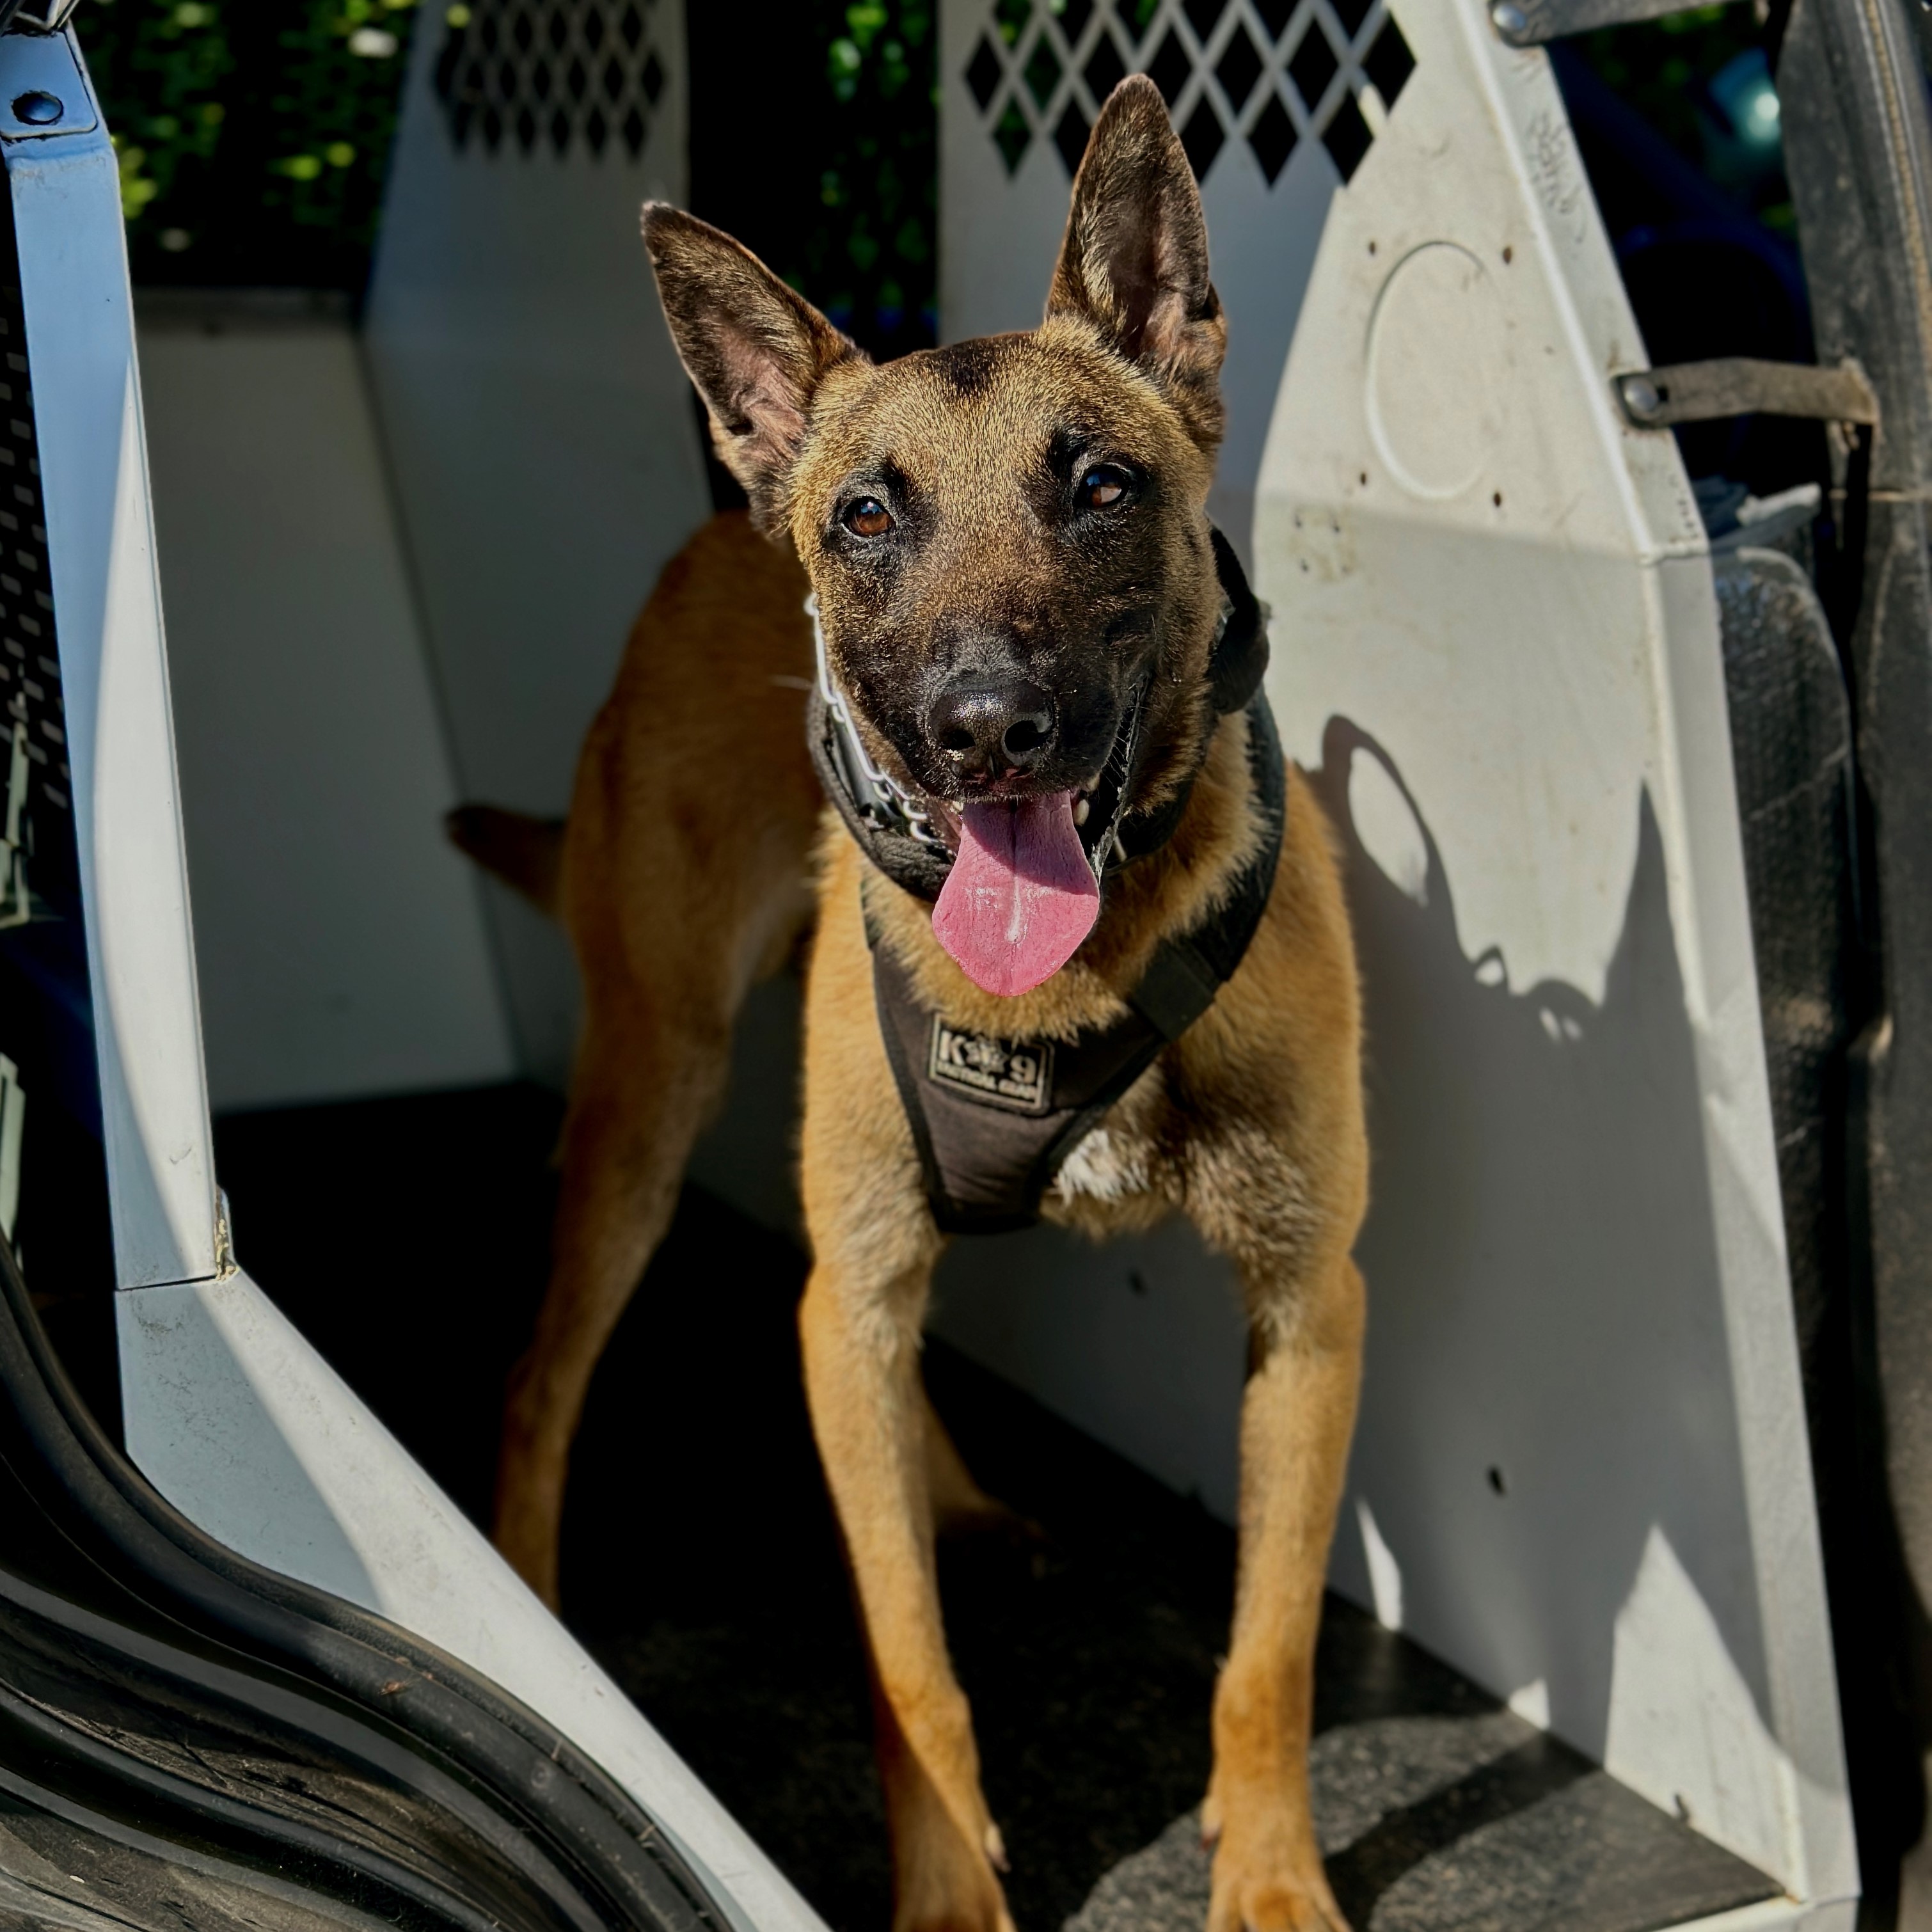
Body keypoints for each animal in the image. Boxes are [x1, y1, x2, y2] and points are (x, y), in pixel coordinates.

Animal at [457, 71, 1368, 1932]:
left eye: (1099, 484)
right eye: (867, 517)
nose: (986, 725)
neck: (1083, 962)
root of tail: (712, 527)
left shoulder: (1308, 1313)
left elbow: (1267, 1650)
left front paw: (1267, 1872)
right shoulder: (859, 1281)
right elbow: (905, 1663)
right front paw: (949, 1888)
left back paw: (953, 1493)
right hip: (652, 1098)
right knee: (546, 1372)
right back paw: (532, 1593)